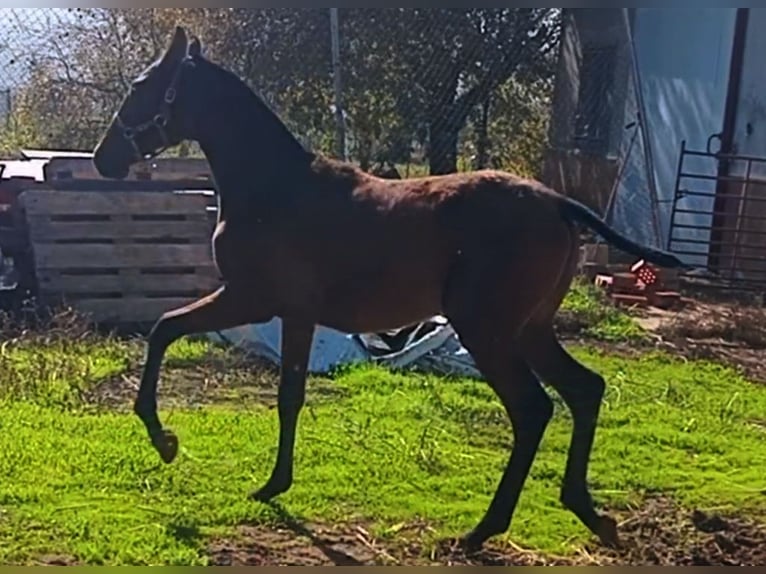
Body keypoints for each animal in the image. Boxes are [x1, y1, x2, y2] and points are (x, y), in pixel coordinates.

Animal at [91, 27, 688, 552]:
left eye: (142, 86)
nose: (104, 158)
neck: (272, 187)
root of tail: (560, 203)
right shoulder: (275, 308)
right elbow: (198, 347)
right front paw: (247, 472)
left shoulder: (260, 301)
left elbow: (189, 344)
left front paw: (173, 444)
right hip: (531, 329)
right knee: (585, 389)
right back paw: (589, 513)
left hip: (488, 330)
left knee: (533, 408)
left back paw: (482, 530)